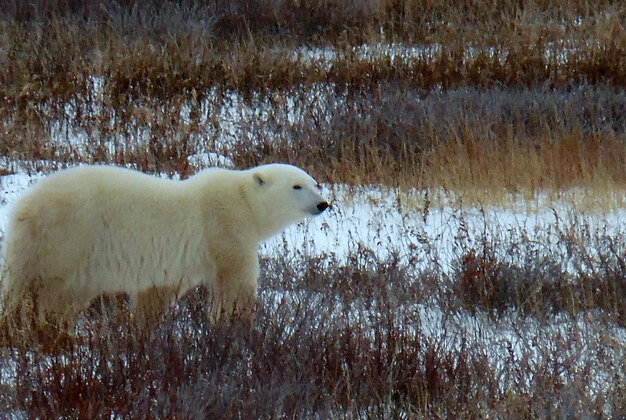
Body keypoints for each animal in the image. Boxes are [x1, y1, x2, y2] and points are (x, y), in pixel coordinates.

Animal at [0, 162, 330, 330]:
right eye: (296, 186)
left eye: (314, 182)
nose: (323, 204)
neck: (244, 201)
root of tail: (21, 206)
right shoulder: (223, 228)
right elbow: (235, 284)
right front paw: (235, 323)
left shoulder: (171, 264)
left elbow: (156, 293)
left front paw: (143, 327)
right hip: (64, 239)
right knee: (37, 289)